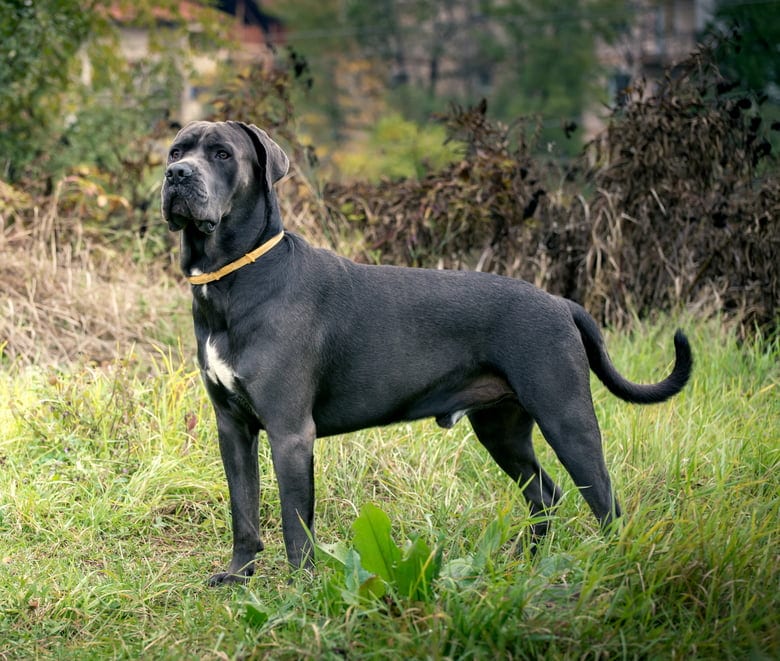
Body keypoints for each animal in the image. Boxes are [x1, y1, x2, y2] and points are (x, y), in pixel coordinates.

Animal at [161, 118, 692, 584]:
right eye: (175, 151)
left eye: (222, 154)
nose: (177, 175)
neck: (234, 279)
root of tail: (561, 303)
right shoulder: (233, 427)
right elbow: (244, 511)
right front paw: (238, 575)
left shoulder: (290, 432)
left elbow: (296, 524)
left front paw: (301, 590)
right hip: (502, 430)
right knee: (545, 494)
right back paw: (527, 562)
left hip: (567, 418)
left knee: (605, 503)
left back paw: (612, 566)